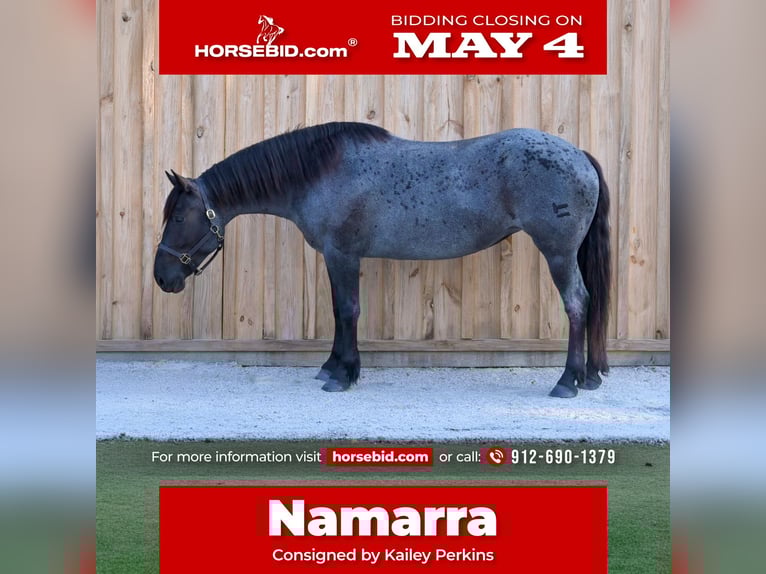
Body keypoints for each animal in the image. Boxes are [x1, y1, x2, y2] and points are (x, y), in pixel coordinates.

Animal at [154, 122, 611, 398]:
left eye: (178, 217)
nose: (162, 277)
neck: (321, 173)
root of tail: (579, 154)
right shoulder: (337, 257)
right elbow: (340, 312)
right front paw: (332, 367)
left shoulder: (342, 254)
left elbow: (347, 310)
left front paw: (343, 374)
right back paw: (588, 377)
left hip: (558, 253)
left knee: (576, 304)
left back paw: (566, 382)